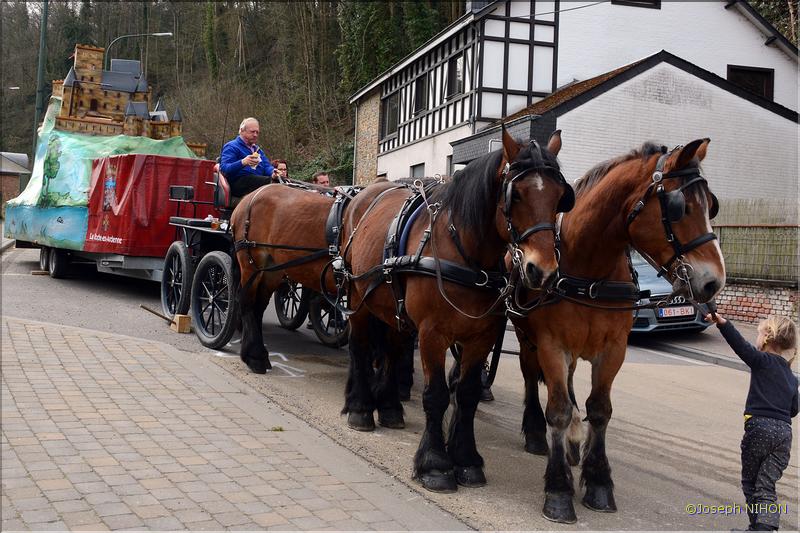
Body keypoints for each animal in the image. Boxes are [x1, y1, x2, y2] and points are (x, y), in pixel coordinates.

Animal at [340, 129, 572, 490]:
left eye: (560, 196)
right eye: (516, 195)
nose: (542, 271)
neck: (467, 253)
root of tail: (365, 194)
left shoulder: (482, 336)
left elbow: (468, 393)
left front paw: (466, 459)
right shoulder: (433, 334)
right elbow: (436, 395)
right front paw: (435, 464)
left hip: (392, 306)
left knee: (392, 350)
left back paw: (390, 408)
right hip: (358, 297)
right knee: (361, 349)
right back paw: (361, 408)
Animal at [512, 139, 724, 520]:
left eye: (710, 205)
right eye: (680, 207)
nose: (714, 281)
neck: (590, 270)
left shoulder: (613, 349)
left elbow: (599, 409)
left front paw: (598, 481)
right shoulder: (551, 345)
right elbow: (558, 410)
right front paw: (559, 490)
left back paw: (572, 441)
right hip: (525, 337)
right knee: (532, 378)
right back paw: (538, 433)